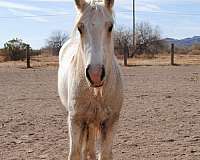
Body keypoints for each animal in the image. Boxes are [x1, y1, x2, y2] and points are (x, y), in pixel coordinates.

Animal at [57, 0, 122, 159]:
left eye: (110, 26)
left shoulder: (111, 122)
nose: (95, 74)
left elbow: (104, 154)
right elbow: (75, 153)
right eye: (80, 28)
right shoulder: (75, 120)